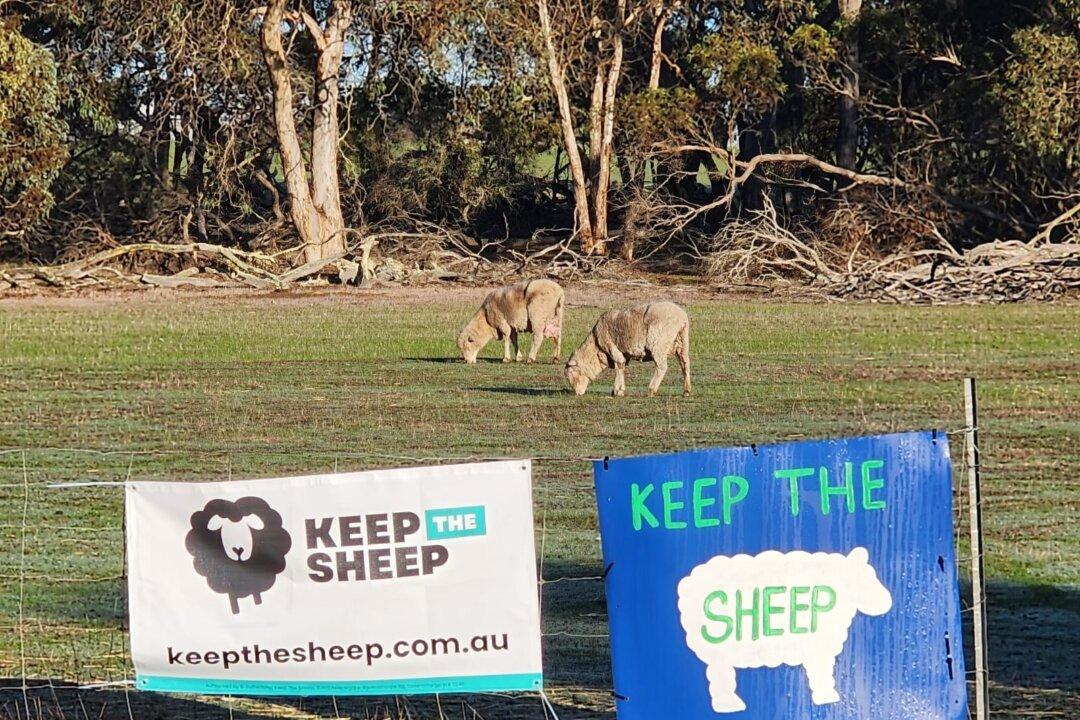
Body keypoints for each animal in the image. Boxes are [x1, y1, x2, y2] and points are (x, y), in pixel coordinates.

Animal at [676, 547, 893, 713]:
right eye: (865, 579)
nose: (887, 602)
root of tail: (686, 584)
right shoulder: (817, 650)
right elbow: (821, 674)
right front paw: (827, 696)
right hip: (718, 652)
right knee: (720, 677)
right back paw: (730, 705)